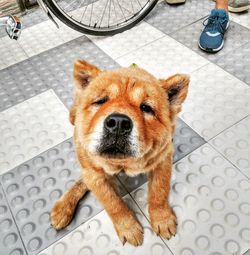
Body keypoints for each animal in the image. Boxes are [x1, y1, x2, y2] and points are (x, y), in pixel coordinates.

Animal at [50, 59, 188, 245]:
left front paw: (162, 219)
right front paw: (128, 228)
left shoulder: (163, 160)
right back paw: (63, 208)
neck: (122, 165)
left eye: (146, 108)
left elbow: (159, 192)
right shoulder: (95, 175)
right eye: (101, 101)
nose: (118, 123)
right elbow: (113, 204)